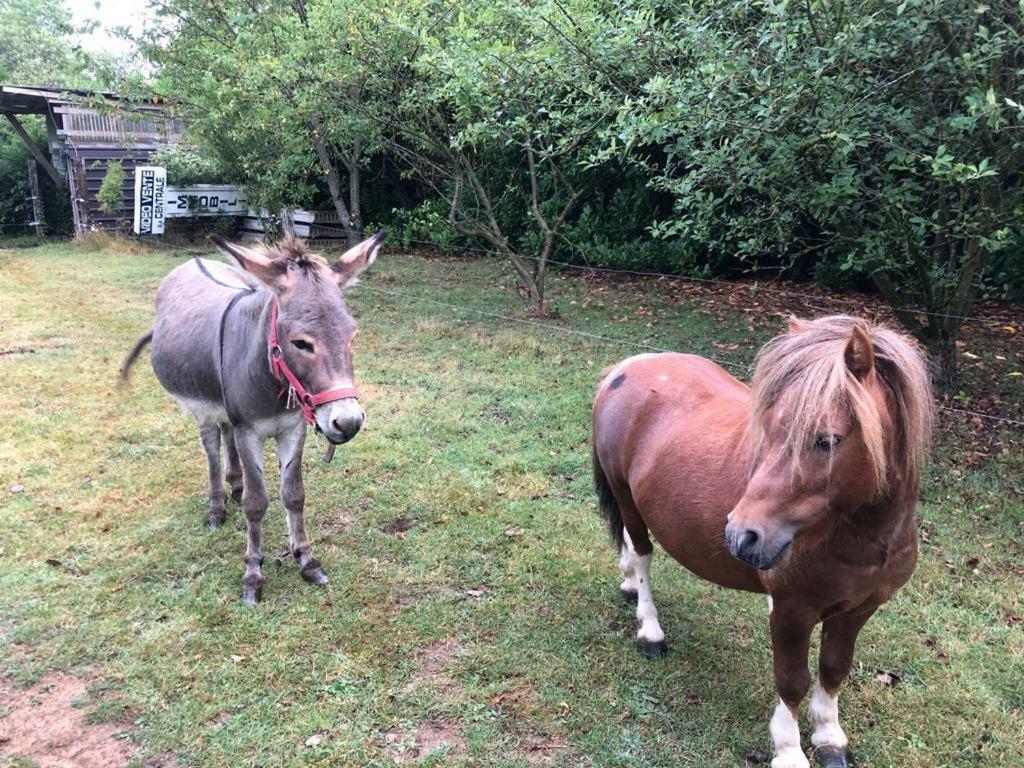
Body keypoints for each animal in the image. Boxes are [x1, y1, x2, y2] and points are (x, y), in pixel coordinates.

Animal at [593, 315, 937, 768]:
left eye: (827, 440)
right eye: (769, 429)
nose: (741, 534)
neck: (861, 537)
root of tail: (628, 366)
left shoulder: (857, 611)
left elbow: (834, 669)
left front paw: (830, 736)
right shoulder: (792, 610)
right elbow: (792, 681)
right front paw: (789, 750)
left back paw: (629, 583)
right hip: (626, 498)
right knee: (643, 554)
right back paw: (650, 629)